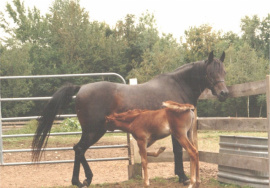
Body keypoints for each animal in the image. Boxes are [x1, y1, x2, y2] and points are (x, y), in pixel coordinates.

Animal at [32, 51, 229, 187]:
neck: (178, 85)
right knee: (79, 149)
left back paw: (81, 180)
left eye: (224, 71)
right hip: (94, 131)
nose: (224, 93)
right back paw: (83, 180)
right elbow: (178, 152)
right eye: (210, 73)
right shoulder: (176, 130)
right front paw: (183, 177)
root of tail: (82, 88)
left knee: (78, 150)